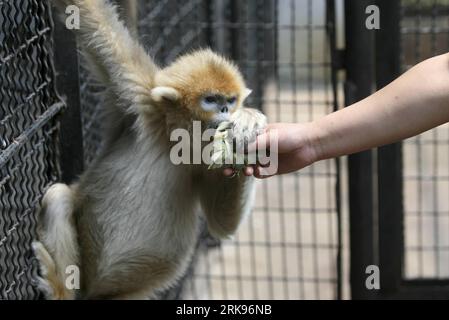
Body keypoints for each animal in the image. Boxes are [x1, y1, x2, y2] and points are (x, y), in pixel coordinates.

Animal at [34, 0, 266, 300]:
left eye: (230, 100)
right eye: (211, 100)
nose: (226, 110)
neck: (172, 138)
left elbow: (221, 224)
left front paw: (246, 128)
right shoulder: (137, 95)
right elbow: (87, 13)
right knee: (58, 197)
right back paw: (60, 290)